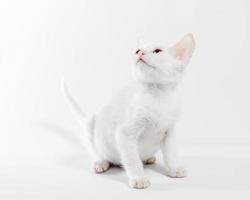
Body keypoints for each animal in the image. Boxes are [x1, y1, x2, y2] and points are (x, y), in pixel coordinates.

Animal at [61, 33, 194, 188]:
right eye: (137, 50)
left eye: (157, 51)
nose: (140, 53)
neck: (158, 96)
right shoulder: (125, 133)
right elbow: (132, 159)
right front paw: (139, 178)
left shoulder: (170, 131)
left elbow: (171, 153)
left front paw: (174, 169)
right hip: (91, 126)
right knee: (93, 149)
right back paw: (100, 163)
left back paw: (148, 158)